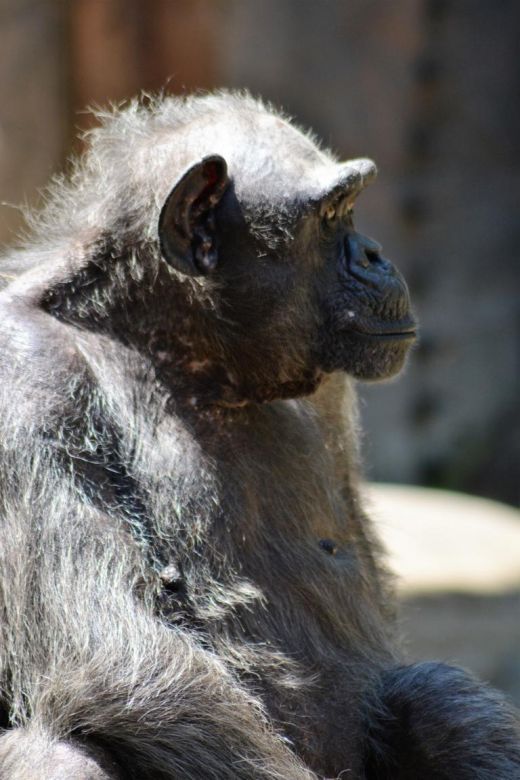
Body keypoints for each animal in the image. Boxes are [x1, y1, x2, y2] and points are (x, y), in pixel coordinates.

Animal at [0, 92, 518, 779]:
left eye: (350, 206)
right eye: (333, 215)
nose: (375, 253)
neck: (178, 350)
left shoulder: (331, 393)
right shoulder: (24, 375)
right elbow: (119, 656)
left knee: (441, 697)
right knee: (61, 753)